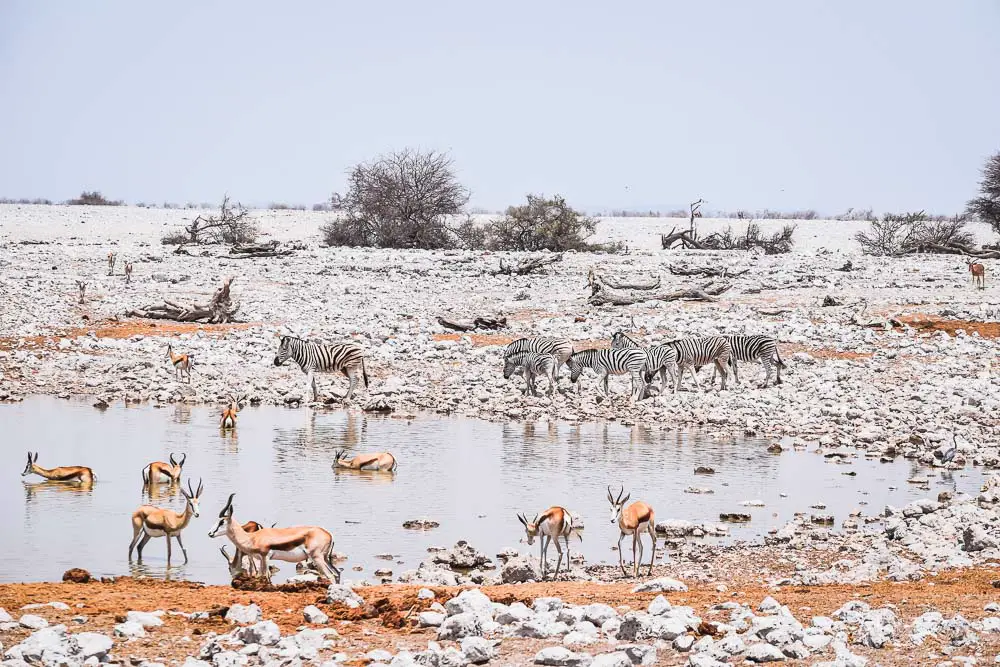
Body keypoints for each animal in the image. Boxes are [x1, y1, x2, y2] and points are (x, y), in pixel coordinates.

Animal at [209, 494, 342, 580]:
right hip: (325, 558)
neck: (252, 537)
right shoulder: (260, 559)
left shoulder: (265, 557)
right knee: (337, 573)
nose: (210, 533)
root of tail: (328, 533)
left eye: (222, 521)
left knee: (330, 575)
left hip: (317, 558)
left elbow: (265, 576)